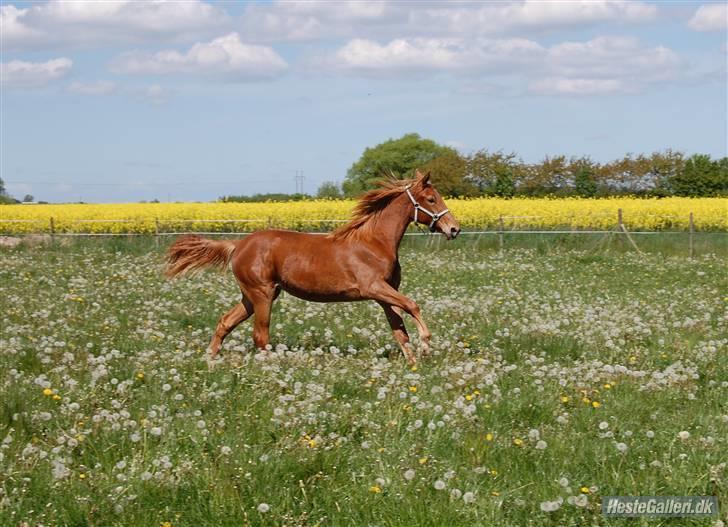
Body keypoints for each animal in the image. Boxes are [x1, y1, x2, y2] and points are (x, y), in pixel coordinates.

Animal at [165, 171, 460, 366]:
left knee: (226, 322)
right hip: (262, 295)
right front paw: (426, 344)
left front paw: (413, 364)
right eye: (431, 199)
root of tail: (238, 245)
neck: (373, 242)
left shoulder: (383, 295)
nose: (454, 229)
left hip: (252, 296)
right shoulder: (373, 287)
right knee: (260, 336)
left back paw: (211, 360)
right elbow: (413, 306)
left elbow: (399, 330)